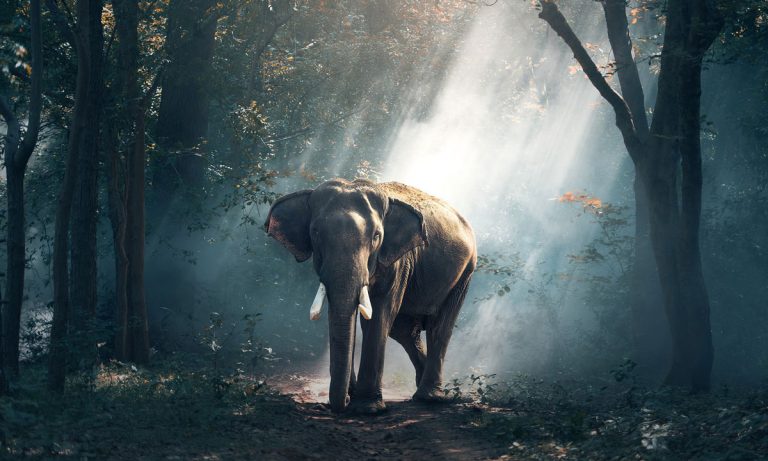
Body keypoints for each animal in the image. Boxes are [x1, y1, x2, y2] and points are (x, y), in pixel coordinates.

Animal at [264, 178, 477, 414]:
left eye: (376, 236)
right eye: (315, 232)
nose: (344, 401)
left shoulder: (397, 261)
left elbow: (379, 315)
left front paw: (367, 408)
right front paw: (353, 397)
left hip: (465, 272)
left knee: (439, 327)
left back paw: (430, 397)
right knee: (404, 330)